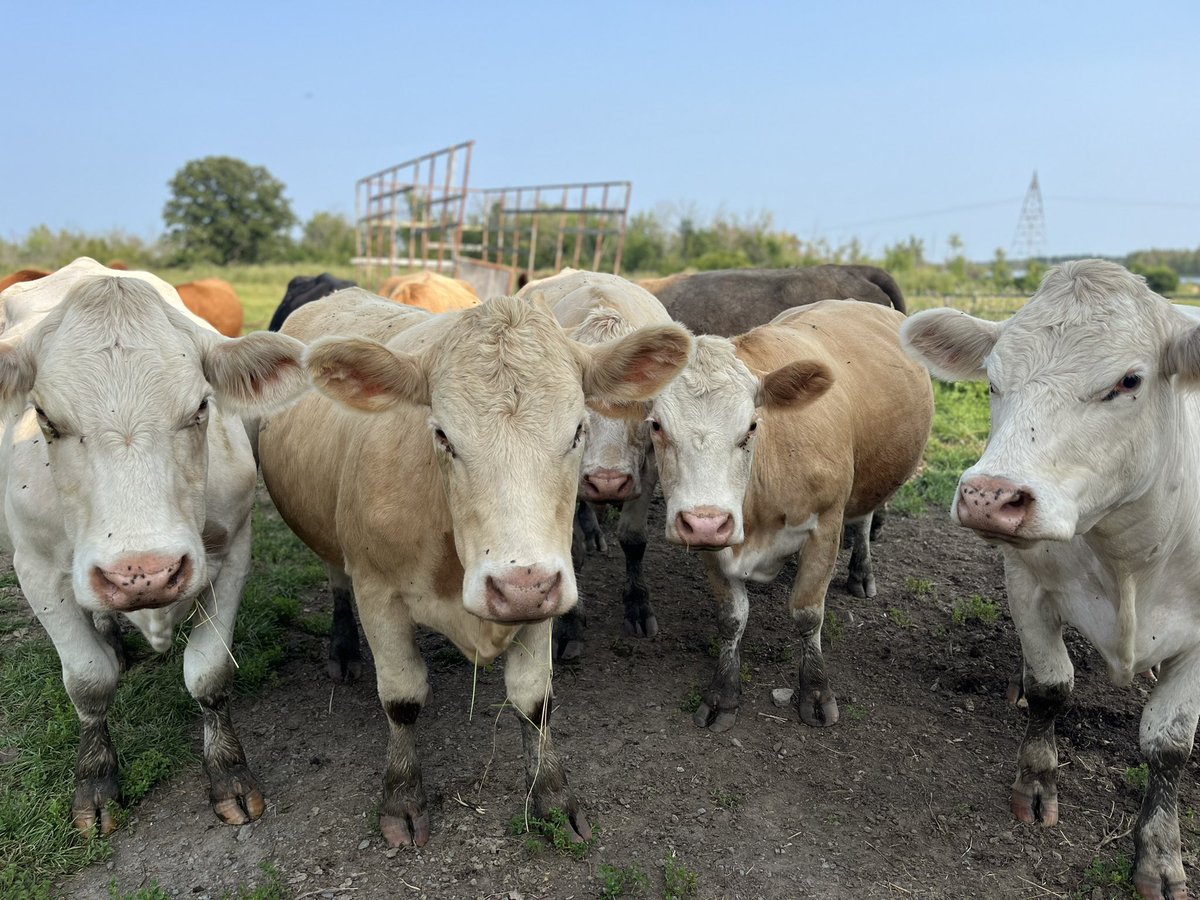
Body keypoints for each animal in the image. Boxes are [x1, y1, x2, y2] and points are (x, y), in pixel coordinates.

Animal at [0, 257, 308, 836]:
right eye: (46, 418)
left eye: (201, 407)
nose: (142, 572)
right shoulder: (34, 567)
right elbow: (89, 680)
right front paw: (95, 781)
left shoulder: (233, 550)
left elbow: (209, 672)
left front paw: (228, 772)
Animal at [517, 269, 675, 657]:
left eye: (646, 412)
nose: (607, 482)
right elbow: (570, 552)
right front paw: (570, 624)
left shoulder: (647, 469)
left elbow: (633, 538)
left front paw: (638, 605)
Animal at [647, 299, 931, 732]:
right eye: (657, 426)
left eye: (751, 427)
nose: (705, 521)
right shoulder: (714, 540)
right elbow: (731, 618)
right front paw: (723, 693)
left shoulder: (825, 525)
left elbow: (807, 613)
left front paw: (815, 691)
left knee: (864, 519)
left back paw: (861, 572)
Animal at [900, 259, 1200, 900]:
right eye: (992, 380)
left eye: (1129, 381)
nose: (988, 496)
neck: (1132, 558)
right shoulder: (1027, 584)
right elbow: (1051, 686)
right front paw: (1035, 785)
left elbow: (1168, 743)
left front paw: (1160, 855)